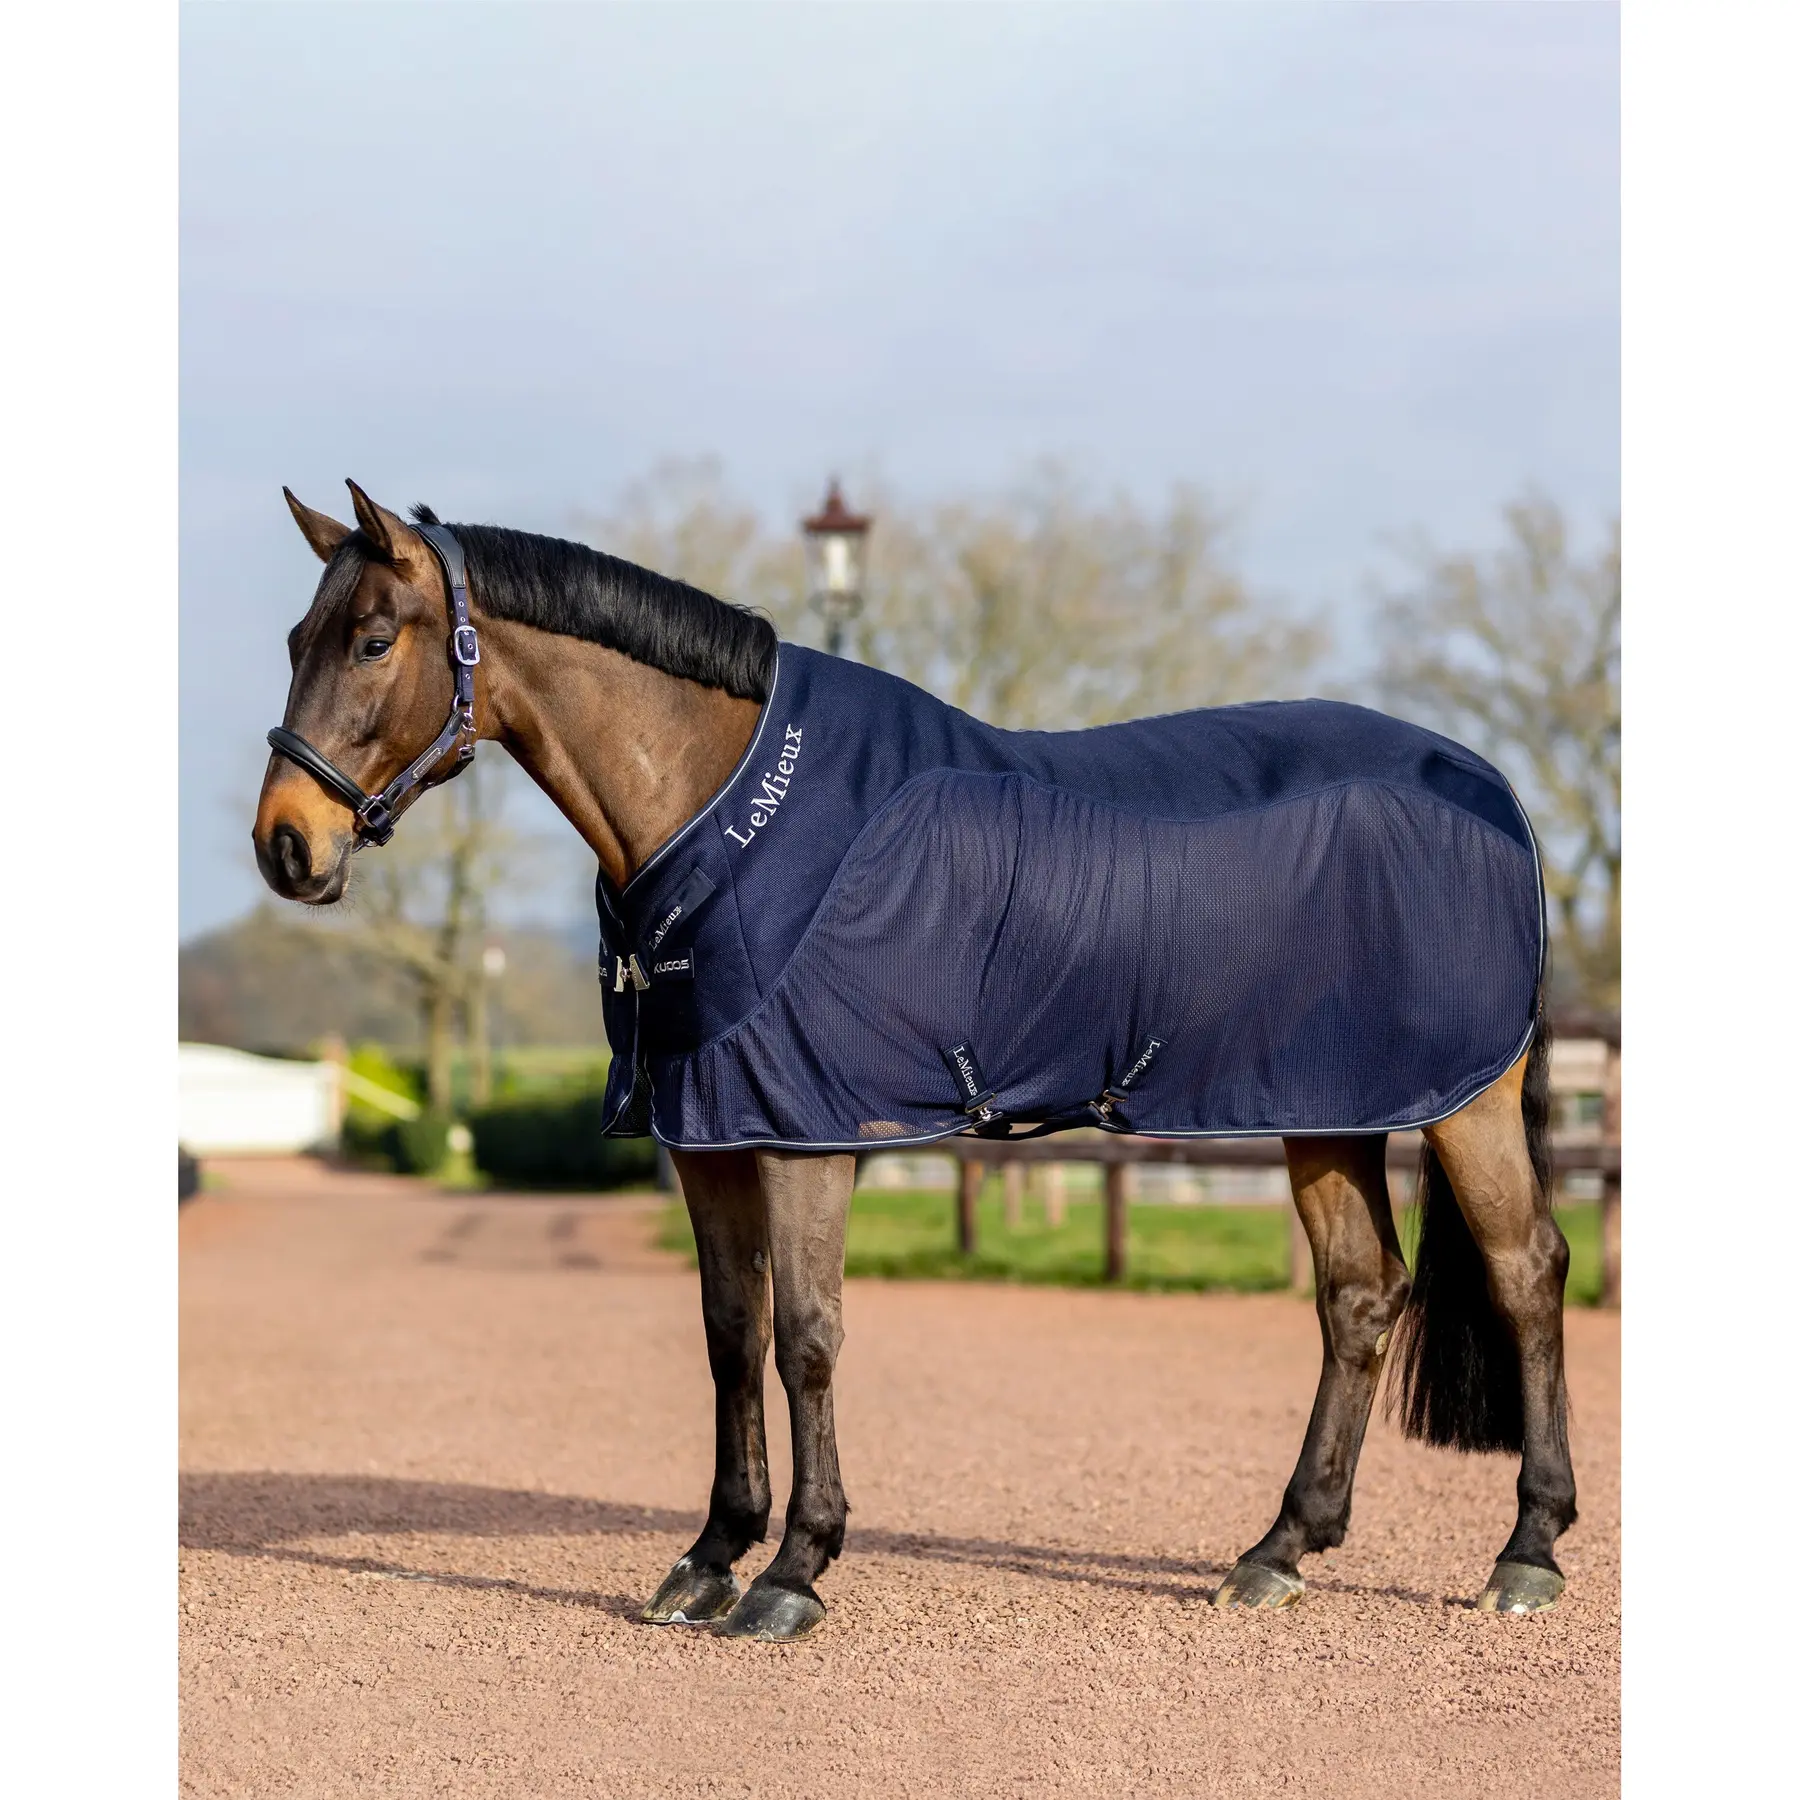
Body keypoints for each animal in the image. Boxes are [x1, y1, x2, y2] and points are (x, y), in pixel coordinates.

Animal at [253, 481, 1575, 1641]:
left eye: (372, 638)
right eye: (296, 635)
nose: (285, 845)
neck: (728, 810)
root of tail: (1490, 791)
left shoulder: (806, 1130)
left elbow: (806, 1337)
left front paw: (795, 1569)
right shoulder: (710, 1131)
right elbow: (729, 1334)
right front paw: (710, 1557)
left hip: (1462, 1104)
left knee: (1527, 1269)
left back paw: (1527, 1553)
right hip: (1328, 1108)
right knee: (1360, 1294)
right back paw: (1280, 1551)